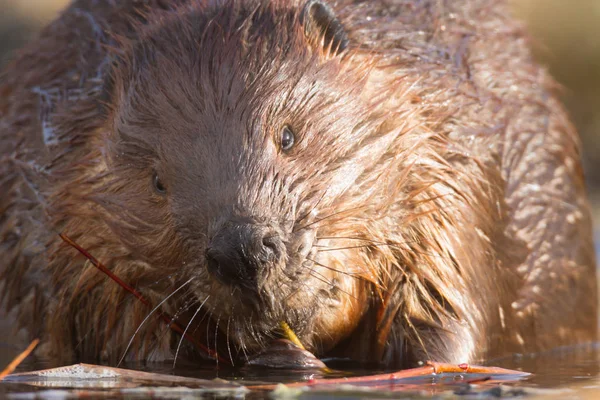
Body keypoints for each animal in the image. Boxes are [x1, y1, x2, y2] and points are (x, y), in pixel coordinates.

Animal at [0, 0, 596, 368]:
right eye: (157, 181)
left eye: (287, 134)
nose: (243, 250)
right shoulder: (59, 228)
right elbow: (124, 336)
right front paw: (275, 354)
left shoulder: (452, 167)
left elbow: (444, 316)